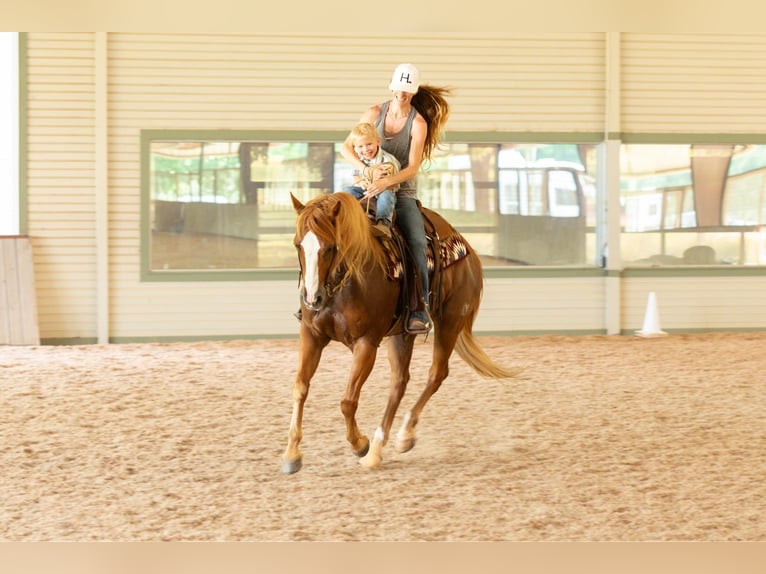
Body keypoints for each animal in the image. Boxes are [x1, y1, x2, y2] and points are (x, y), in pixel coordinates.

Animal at [284, 191, 520, 474]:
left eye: (330, 247)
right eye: (298, 245)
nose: (312, 298)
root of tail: (469, 252)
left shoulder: (366, 344)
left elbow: (348, 401)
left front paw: (359, 443)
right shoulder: (312, 335)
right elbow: (300, 388)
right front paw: (292, 454)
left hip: (450, 321)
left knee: (436, 374)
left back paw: (399, 437)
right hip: (402, 335)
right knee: (399, 382)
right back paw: (378, 448)